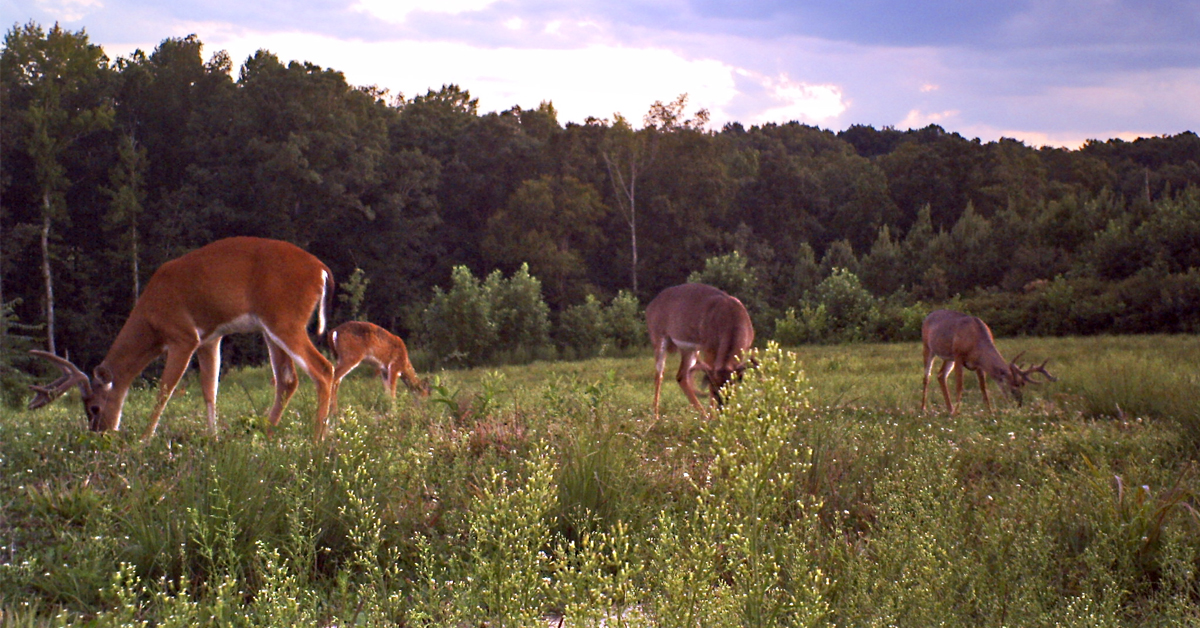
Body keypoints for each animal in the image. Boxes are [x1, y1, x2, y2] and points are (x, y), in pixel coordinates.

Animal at [28, 235, 338, 441]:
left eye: (94, 407)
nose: (99, 434)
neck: (150, 315)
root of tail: (322, 270)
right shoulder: (210, 338)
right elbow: (209, 389)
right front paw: (213, 438)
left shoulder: (183, 336)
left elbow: (165, 390)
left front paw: (144, 439)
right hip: (270, 327)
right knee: (288, 380)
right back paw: (264, 434)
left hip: (285, 320)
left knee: (323, 369)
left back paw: (317, 440)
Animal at [643, 282, 753, 420]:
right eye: (715, 390)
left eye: (732, 388)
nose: (722, 409)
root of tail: (650, 306)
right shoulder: (708, 347)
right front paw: (713, 417)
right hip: (658, 339)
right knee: (659, 375)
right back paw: (656, 416)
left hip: (689, 349)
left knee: (681, 376)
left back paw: (702, 414)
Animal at [921, 307, 1056, 415]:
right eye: (1012, 388)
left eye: (1023, 385)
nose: (1019, 404)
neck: (977, 341)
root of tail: (928, 316)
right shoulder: (959, 355)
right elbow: (960, 386)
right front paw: (957, 413)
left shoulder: (979, 364)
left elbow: (983, 387)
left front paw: (989, 411)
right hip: (928, 347)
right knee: (926, 377)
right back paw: (924, 409)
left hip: (949, 357)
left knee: (941, 375)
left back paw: (949, 409)